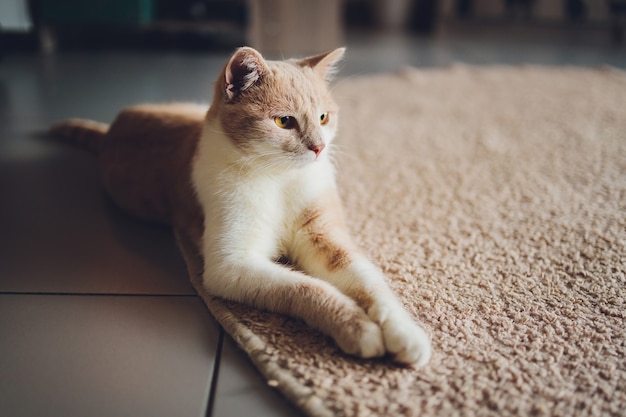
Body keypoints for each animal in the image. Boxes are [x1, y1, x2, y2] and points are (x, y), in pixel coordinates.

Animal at [50, 44, 428, 364]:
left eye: (323, 118)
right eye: (284, 121)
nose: (319, 148)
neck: (278, 179)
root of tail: (112, 130)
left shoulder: (324, 237)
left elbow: (369, 282)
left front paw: (405, 333)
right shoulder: (231, 266)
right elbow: (307, 287)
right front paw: (358, 327)